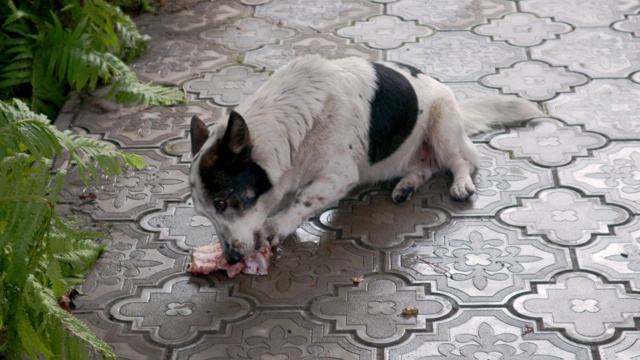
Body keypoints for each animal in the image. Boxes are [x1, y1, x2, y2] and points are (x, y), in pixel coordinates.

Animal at [188, 56, 544, 264]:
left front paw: (279, 225)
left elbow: (304, 199)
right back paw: (405, 187)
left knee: (463, 161)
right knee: (425, 167)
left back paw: (460, 184)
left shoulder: (338, 177)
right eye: (205, 214)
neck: (295, 124)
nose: (232, 260)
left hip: (443, 125)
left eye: (222, 203)